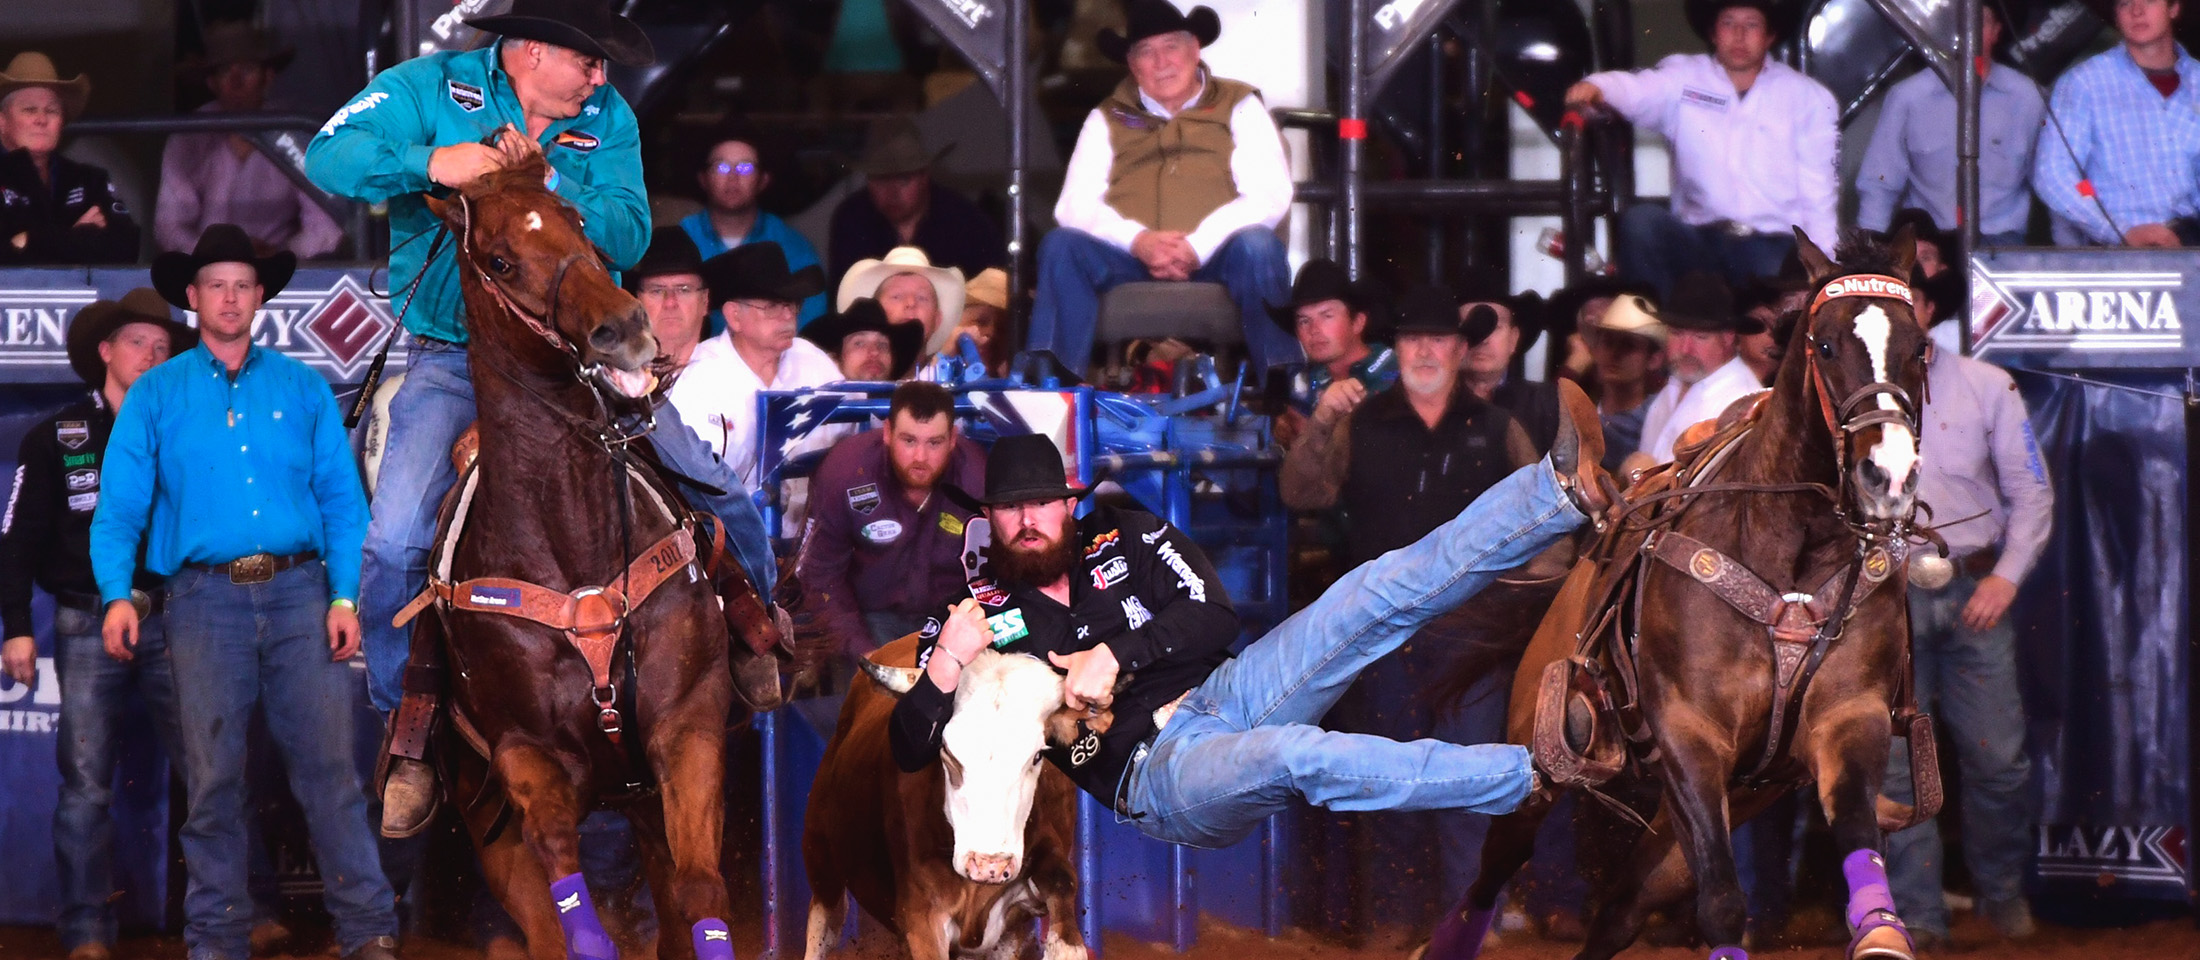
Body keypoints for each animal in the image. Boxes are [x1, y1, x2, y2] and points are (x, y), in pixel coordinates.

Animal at [400, 148, 734, 960]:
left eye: (578, 220)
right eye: (498, 260)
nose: (626, 328)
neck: (573, 548)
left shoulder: (690, 725)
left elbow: (701, 890)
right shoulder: (527, 760)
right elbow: (568, 910)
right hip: (489, 823)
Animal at [1443, 226, 1944, 960]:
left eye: (1920, 347)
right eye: (1825, 345)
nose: (1890, 475)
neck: (1791, 563)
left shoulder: (1850, 718)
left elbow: (1856, 835)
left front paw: (1883, 934)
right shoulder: (1688, 732)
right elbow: (1723, 902)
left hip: (1709, 808)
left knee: (1621, 910)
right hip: (1544, 767)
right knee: (1493, 872)